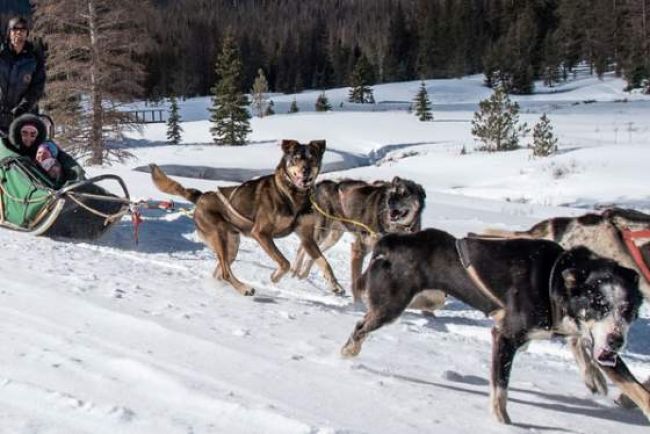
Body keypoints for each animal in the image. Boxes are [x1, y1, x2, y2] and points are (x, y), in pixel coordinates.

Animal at [149, 141, 342, 296]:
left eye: (312, 159)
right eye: (296, 158)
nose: (306, 171)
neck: (292, 196)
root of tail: (202, 196)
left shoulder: (307, 237)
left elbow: (324, 262)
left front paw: (335, 285)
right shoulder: (261, 234)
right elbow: (285, 262)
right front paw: (275, 276)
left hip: (232, 245)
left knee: (220, 272)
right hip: (219, 238)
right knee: (226, 272)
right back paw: (244, 289)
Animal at [292, 175, 442, 310]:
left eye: (405, 194)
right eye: (392, 193)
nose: (390, 202)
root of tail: (320, 184)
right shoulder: (359, 249)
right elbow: (357, 279)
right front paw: (358, 304)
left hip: (333, 236)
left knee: (313, 253)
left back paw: (305, 275)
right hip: (322, 231)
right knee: (303, 247)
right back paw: (295, 272)